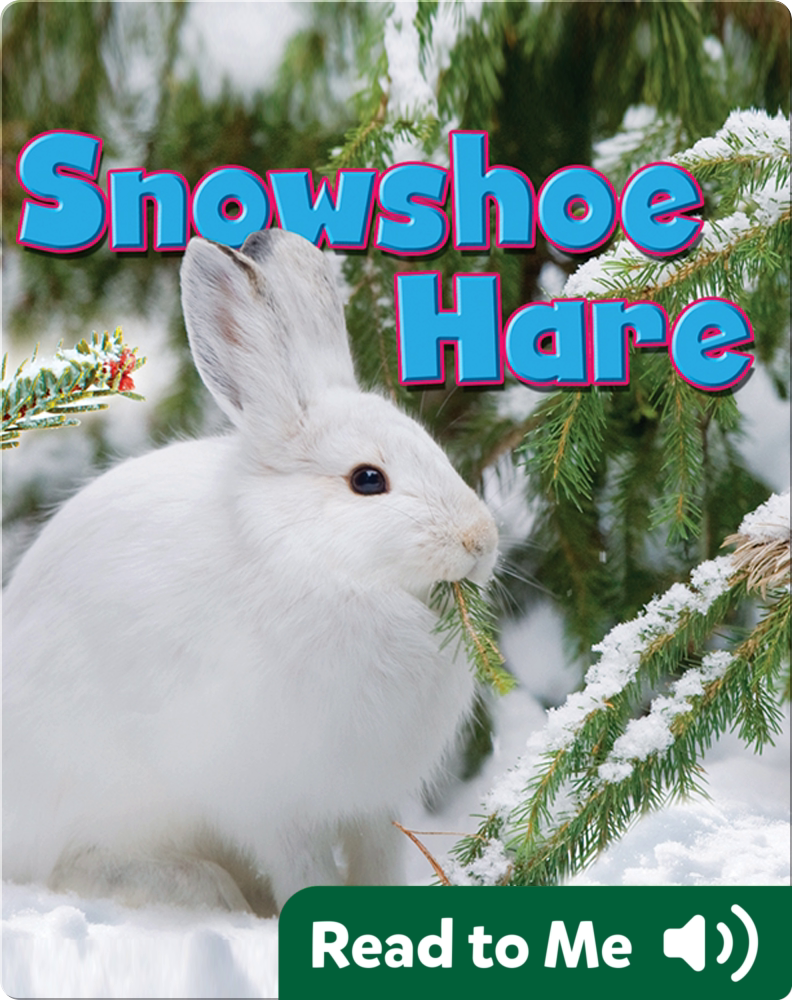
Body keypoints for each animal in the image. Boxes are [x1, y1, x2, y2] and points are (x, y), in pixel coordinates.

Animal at [2, 227, 498, 915]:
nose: (482, 540)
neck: (324, 569)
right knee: (75, 863)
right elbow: (303, 870)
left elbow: (378, 859)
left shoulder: (372, 800)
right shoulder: (274, 803)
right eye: (367, 480)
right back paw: (206, 891)